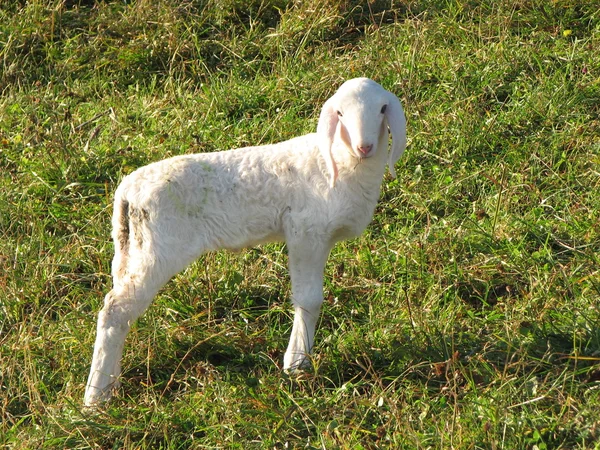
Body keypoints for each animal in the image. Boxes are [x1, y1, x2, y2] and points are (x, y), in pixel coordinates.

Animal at [84, 76, 408, 404]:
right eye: (340, 113)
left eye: (383, 109)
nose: (364, 146)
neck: (337, 161)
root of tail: (127, 190)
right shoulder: (305, 230)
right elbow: (309, 299)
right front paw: (296, 364)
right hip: (157, 250)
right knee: (115, 310)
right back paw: (96, 396)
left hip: (130, 248)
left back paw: (109, 381)